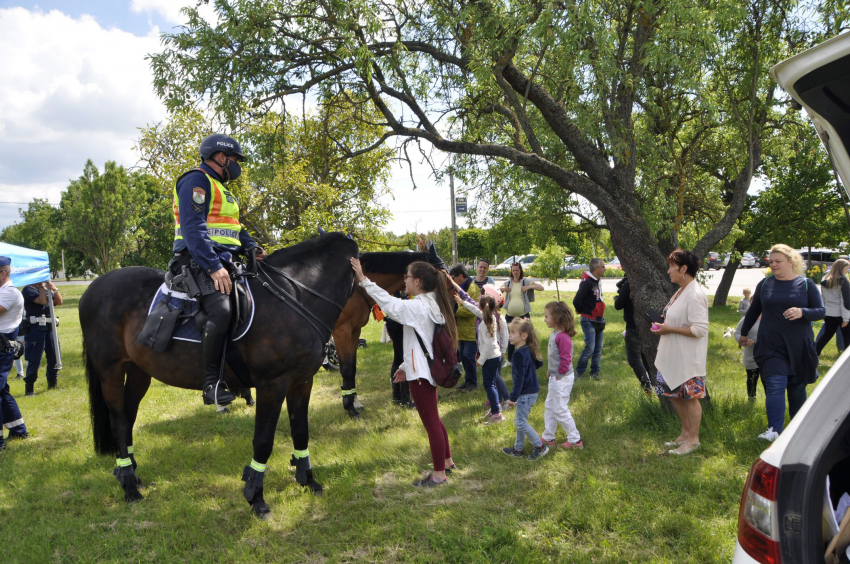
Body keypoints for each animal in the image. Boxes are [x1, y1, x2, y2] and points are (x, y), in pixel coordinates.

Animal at [81, 232, 356, 516]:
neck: (294, 296)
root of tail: (94, 286)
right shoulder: (272, 385)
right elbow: (263, 441)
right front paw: (256, 496)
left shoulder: (301, 382)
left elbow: (301, 431)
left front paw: (308, 481)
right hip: (110, 371)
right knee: (118, 421)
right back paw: (129, 487)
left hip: (138, 372)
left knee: (128, 417)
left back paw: (133, 475)